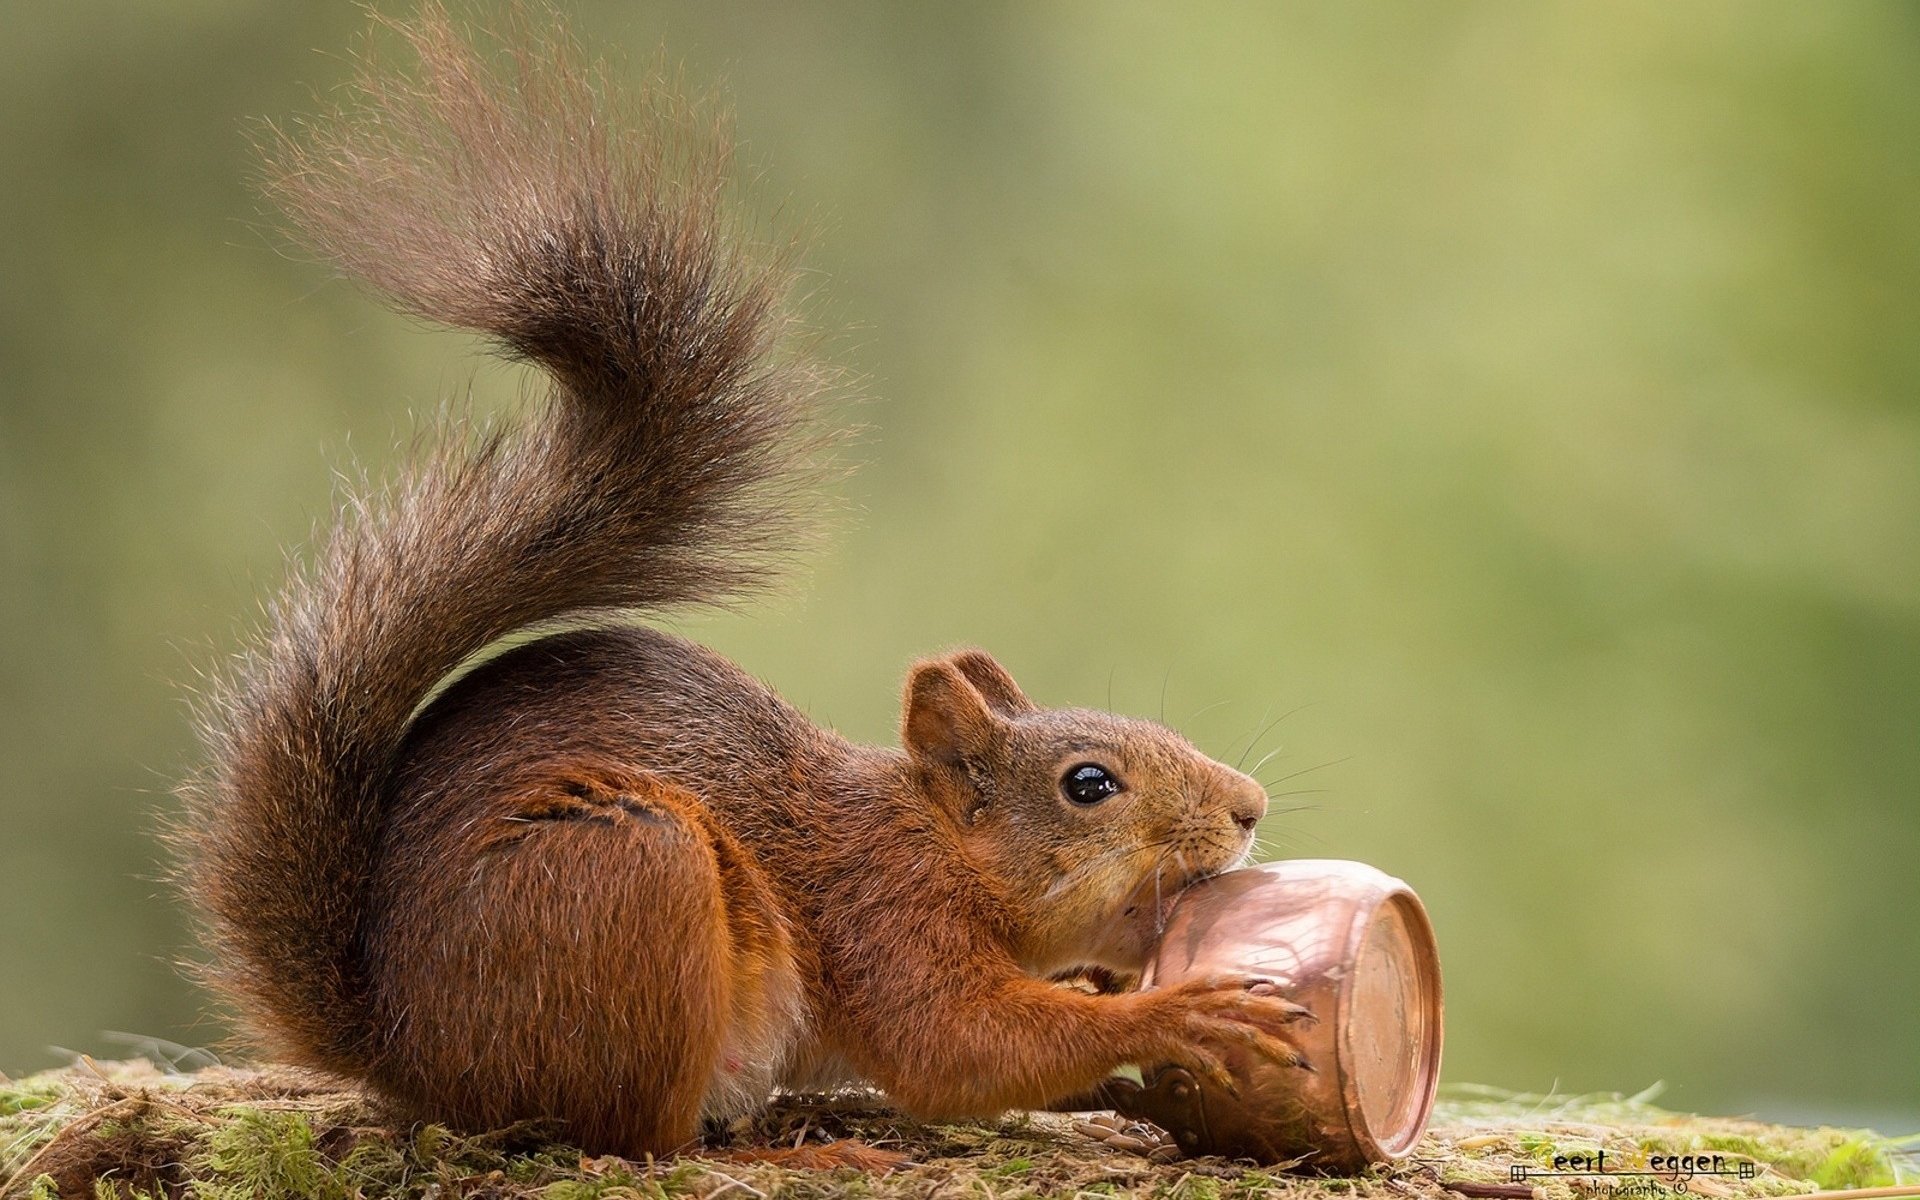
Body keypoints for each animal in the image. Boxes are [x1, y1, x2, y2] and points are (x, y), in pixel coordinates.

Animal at [180, 2, 1313, 1159]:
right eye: (1089, 785)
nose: (1250, 807)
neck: (938, 845)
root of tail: (406, 1052)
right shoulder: (885, 918)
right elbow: (958, 1050)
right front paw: (1176, 1014)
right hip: (630, 881)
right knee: (636, 1136)